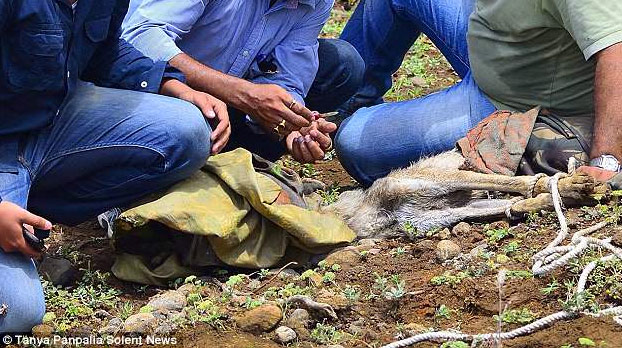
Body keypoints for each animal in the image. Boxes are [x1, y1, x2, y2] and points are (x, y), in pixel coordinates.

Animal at [324, 151, 604, 241]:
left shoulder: (439, 180)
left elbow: (519, 183)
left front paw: (576, 185)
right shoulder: (437, 216)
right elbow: (514, 203)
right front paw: (564, 197)